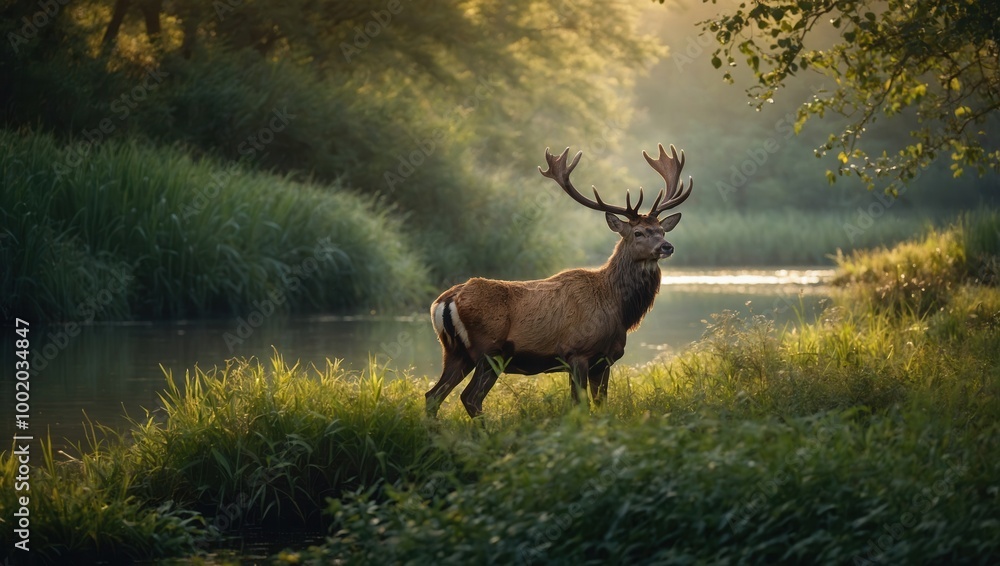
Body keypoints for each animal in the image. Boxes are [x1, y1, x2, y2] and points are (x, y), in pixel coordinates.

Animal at [425, 143, 693, 419]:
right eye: (638, 232)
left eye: (662, 230)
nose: (667, 247)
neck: (618, 308)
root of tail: (444, 302)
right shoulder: (577, 352)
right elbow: (579, 404)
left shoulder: (604, 360)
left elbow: (601, 404)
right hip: (490, 351)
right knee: (470, 397)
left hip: (455, 352)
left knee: (433, 395)